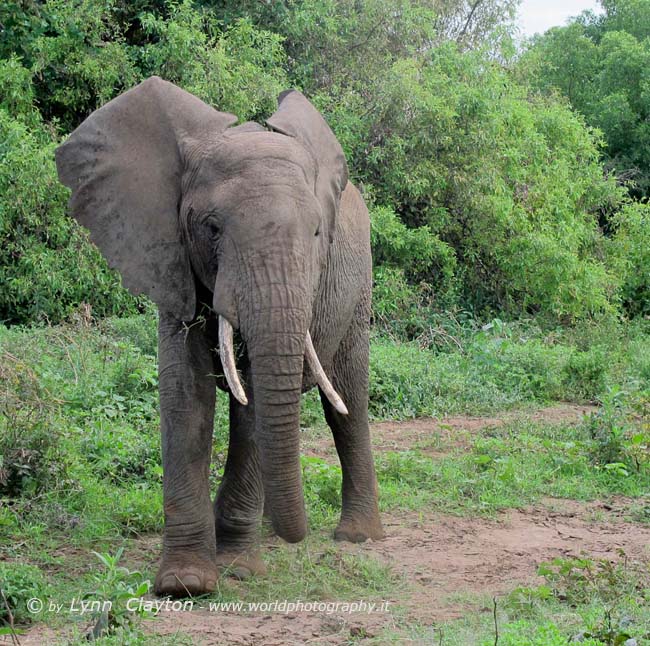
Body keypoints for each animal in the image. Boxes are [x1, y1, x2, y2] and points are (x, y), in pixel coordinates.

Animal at [55, 78, 382, 600]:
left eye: (316, 233)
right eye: (211, 228)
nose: (298, 534)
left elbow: (252, 400)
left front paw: (241, 567)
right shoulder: (169, 257)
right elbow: (184, 391)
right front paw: (184, 584)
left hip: (358, 289)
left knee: (346, 402)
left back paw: (355, 536)